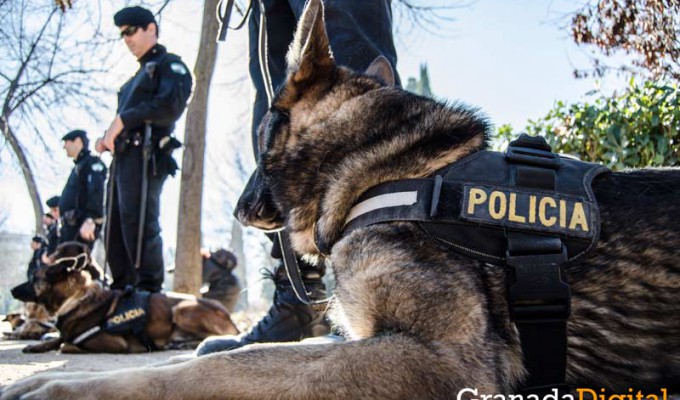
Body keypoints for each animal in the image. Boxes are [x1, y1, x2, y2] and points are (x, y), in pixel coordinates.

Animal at [9, 241, 239, 354]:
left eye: (33, 277)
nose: (11, 290)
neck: (76, 298)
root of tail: (231, 319)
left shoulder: (115, 343)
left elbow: (67, 345)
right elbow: (58, 339)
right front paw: (36, 346)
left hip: (182, 309)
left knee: (212, 337)